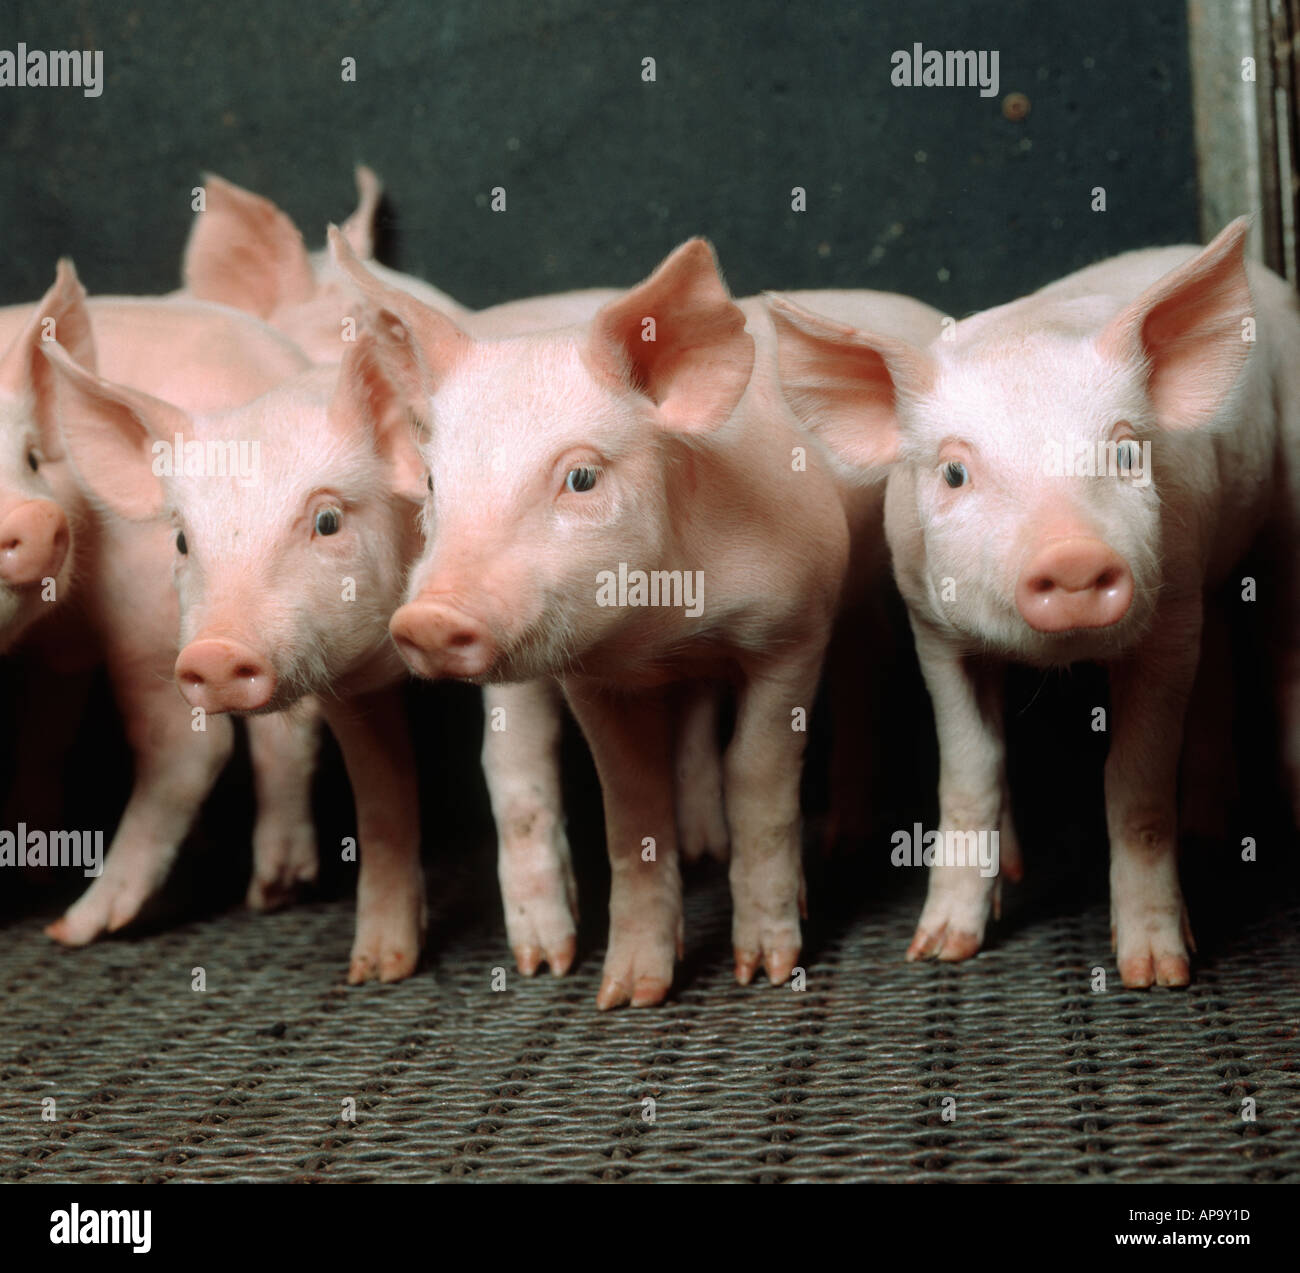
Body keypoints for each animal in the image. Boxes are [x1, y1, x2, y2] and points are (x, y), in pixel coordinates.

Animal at [0, 261, 322, 940]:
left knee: (188, 747)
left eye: (32, 460)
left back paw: (76, 926)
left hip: (148, 611)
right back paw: (273, 890)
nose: (40, 517)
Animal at [329, 229, 945, 1008]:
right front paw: (627, 994)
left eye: (582, 477)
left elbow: (759, 776)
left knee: (866, 666)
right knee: (520, 759)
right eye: (437, 481)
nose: (431, 618)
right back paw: (550, 951)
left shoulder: (794, 628)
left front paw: (764, 971)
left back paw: (845, 840)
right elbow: (632, 802)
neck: (663, 618)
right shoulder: (590, 673)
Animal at [764, 217, 1300, 987]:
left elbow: (1135, 783)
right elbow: (971, 770)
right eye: (955, 472)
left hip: (1285, 509)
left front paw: (1156, 972)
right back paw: (1208, 825)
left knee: (1283, 653)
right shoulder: (931, 627)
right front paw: (938, 949)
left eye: (1127, 454)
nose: (1072, 553)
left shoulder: (1170, 616)